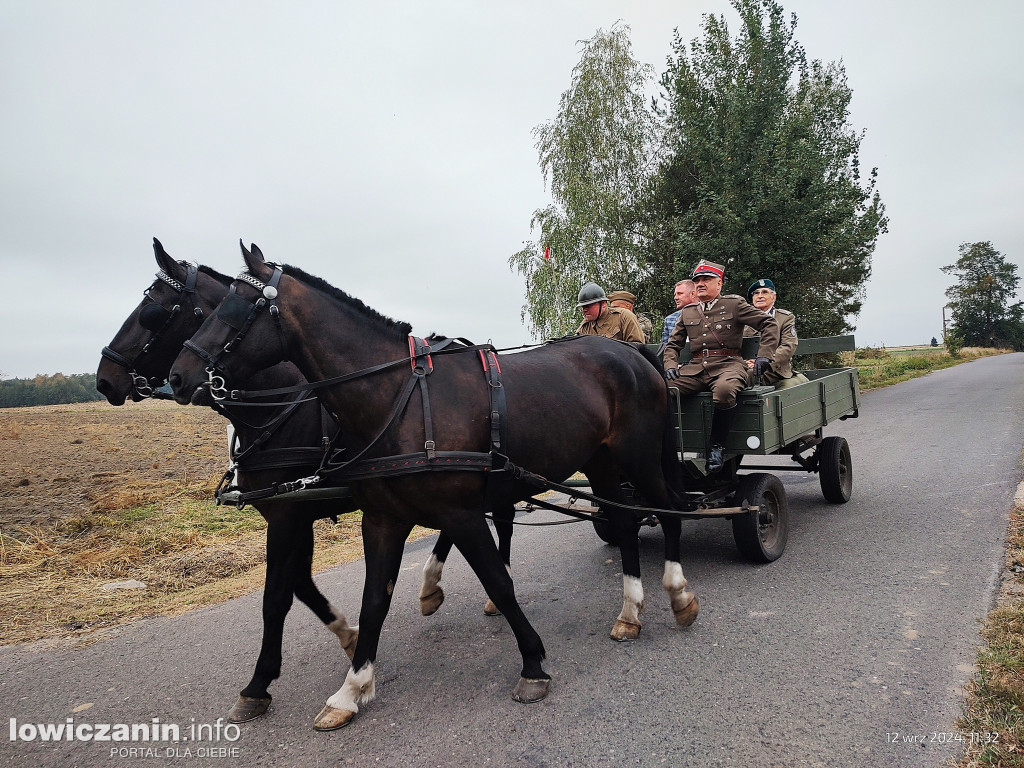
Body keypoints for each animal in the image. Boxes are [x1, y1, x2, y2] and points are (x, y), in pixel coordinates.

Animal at [165, 246, 704, 733]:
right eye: (207, 308)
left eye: (234, 310)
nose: (178, 377)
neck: (397, 400)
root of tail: (632, 352)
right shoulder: (382, 519)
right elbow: (372, 600)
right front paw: (351, 688)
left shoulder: (455, 513)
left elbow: (498, 582)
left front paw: (532, 664)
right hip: (602, 463)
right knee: (626, 520)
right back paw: (630, 610)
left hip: (639, 458)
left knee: (670, 511)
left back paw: (677, 593)